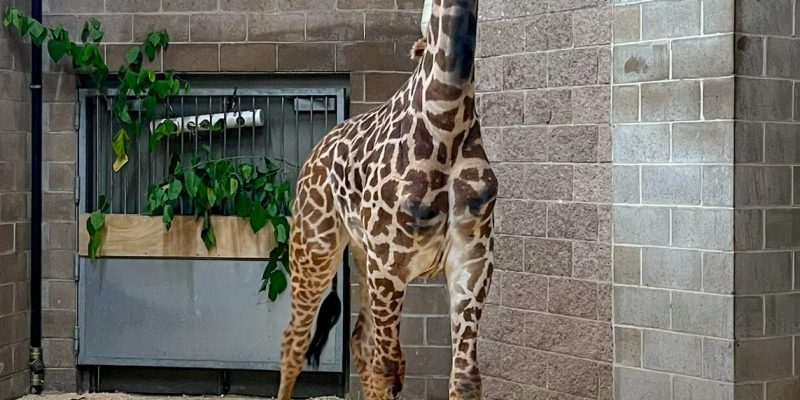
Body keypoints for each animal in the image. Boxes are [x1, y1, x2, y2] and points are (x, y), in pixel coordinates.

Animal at [277, 0, 495, 398]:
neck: (448, 119)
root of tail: (315, 151)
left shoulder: (474, 258)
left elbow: (466, 378)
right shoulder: (391, 263)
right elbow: (389, 369)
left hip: (363, 258)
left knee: (359, 342)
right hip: (314, 246)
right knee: (295, 342)